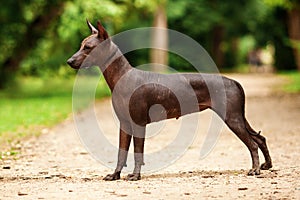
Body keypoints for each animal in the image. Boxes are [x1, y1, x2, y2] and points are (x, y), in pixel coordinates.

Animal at [67, 20, 272, 181]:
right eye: (81, 45)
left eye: (87, 47)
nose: (69, 61)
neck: (122, 76)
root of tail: (235, 82)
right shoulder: (124, 124)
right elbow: (121, 152)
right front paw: (115, 175)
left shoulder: (138, 123)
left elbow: (138, 151)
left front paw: (135, 175)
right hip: (237, 117)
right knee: (260, 138)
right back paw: (267, 165)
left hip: (232, 118)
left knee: (253, 143)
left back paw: (255, 170)